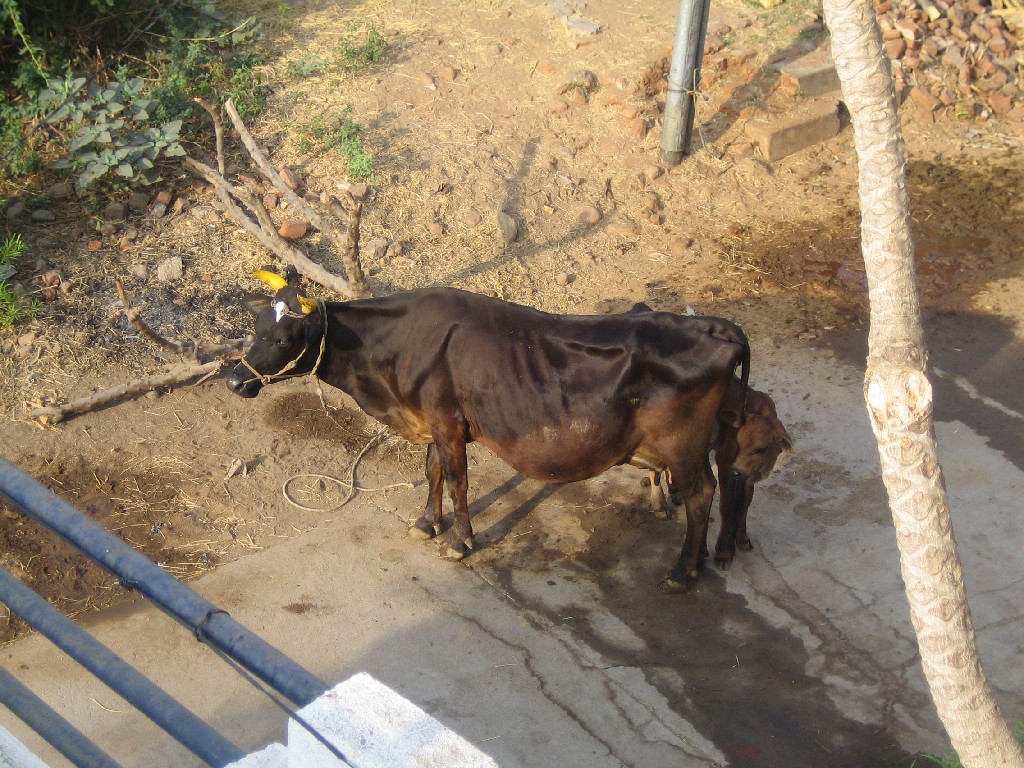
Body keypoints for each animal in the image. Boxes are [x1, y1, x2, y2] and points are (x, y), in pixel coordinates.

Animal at [228, 268, 749, 593]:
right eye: (255, 328)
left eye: (284, 337)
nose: (234, 381)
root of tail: (710, 325)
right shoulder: (433, 422)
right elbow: (432, 471)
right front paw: (426, 523)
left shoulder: (447, 421)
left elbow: (458, 481)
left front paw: (460, 541)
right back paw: (700, 561)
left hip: (681, 446)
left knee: (702, 495)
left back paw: (682, 572)